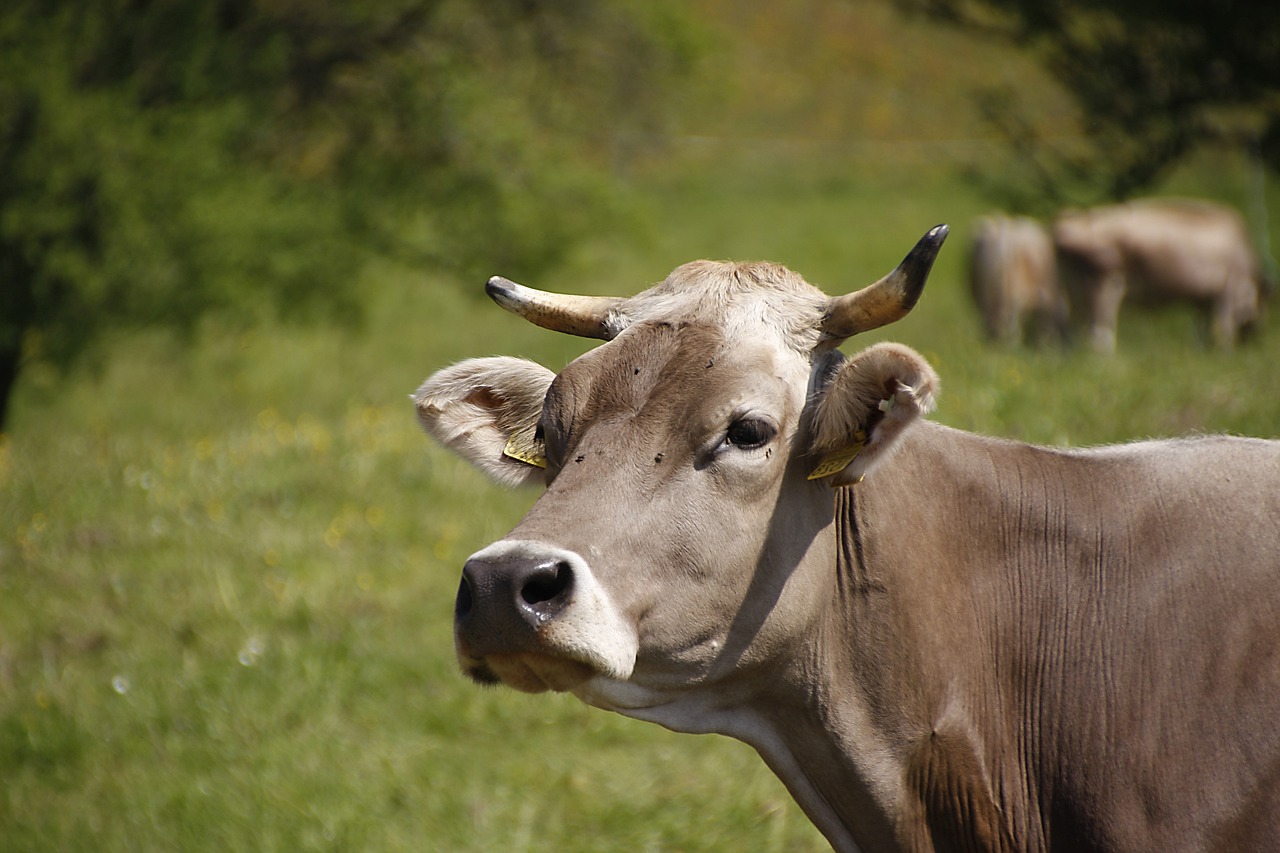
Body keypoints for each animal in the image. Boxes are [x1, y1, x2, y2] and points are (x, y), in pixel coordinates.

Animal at [1049, 197, 1269, 350]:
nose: (1253, 337)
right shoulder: (1229, 290)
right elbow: (1224, 331)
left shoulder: (1203, 299)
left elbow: (1202, 331)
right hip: (1105, 287)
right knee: (1100, 338)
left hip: (1074, 296)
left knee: (1072, 336)